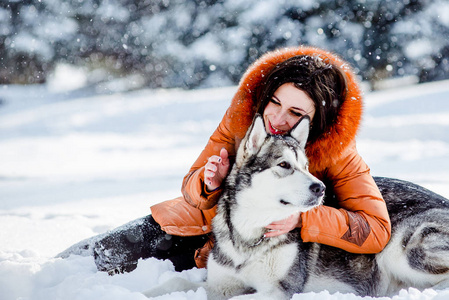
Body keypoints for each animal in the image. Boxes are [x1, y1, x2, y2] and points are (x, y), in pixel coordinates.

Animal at [145, 114, 448, 298]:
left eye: (305, 166)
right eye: (284, 165)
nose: (320, 188)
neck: (250, 238)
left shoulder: (278, 290)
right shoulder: (221, 283)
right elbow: (179, 282)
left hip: (404, 250)